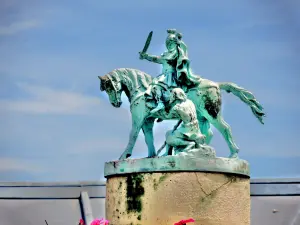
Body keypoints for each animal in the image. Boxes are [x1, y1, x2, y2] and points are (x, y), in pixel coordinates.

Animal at [97, 67, 264, 159]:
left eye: (109, 86)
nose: (115, 104)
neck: (142, 90)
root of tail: (216, 84)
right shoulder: (147, 121)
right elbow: (148, 139)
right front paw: (152, 156)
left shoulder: (138, 119)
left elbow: (133, 136)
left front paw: (124, 156)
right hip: (202, 117)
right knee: (207, 133)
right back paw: (199, 150)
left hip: (211, 113)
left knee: (225, 128)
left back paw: (233, 155)